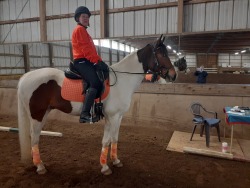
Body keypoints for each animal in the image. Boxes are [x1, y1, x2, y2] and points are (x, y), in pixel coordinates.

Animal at [17, 34, 177, 176]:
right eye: (162, 54)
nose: (173, 75)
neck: (123, 79)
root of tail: (26, 76)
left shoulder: (118, 117)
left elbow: (114, 138)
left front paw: (115, 161)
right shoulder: (112, 117)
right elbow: (106, 140)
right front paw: (105, 167)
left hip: (44, 112)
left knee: (35, 136)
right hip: (37, 114)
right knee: (34, 136)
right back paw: (40, 167)